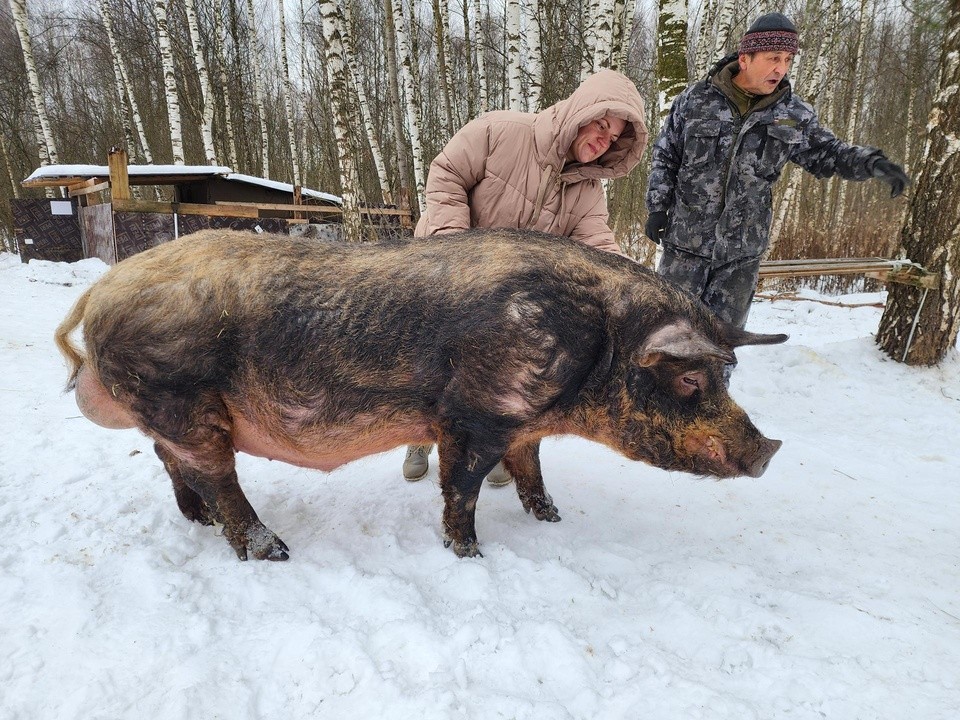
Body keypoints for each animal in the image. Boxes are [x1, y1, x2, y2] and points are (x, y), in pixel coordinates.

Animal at [54, 231, 788, 564]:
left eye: (727, 378)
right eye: (691, 381)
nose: (770, 448)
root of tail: (101, 290)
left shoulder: (523, 426)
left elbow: (531, 471)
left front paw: (553, 521)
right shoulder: (475, 413)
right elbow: (461, 487)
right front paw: (471, 555)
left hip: (170, 414)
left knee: (170, 463)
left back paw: (198, 523)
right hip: (183, 403)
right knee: (214, 475)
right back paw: (273, 552)